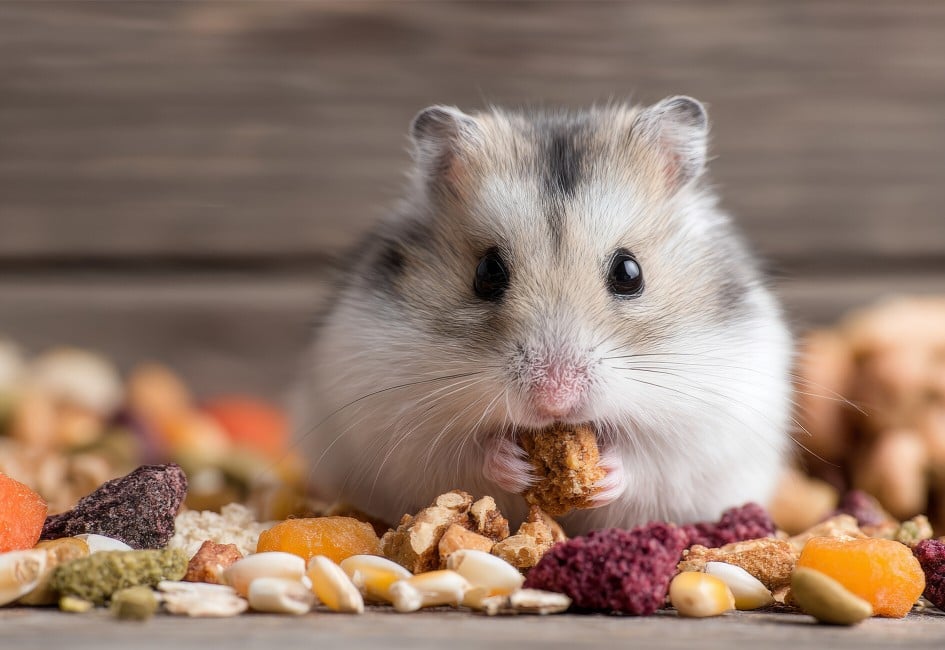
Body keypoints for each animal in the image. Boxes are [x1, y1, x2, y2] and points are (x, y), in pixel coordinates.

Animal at [295, 96, 793, 535]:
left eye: (630, 272)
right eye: (487, 273)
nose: (555, 400)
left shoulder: (705, 425)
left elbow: (648, 459)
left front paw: (604, 476)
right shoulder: (398, 419)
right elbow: (466, 453)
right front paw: (516, 467)